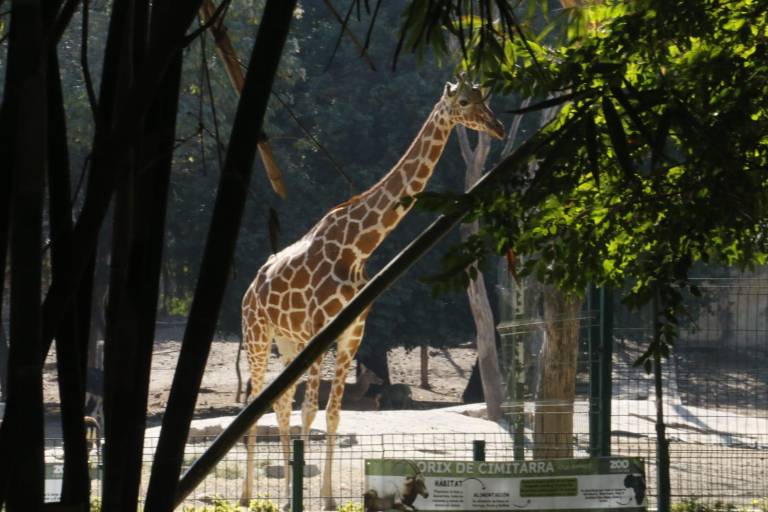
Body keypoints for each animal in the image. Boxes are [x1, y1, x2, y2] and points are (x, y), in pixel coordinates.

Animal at [240, 75, 504, 510]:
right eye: (465, 102)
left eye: (486, 98)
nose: (497, 128)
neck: (358, 247)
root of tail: (250, 288)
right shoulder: (321, 332)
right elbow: (311, 412)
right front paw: (309, 498)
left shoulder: (352, 335)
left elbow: (331, 414)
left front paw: (327, 498)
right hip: (257, 335)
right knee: (255, 400)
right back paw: (248, 494)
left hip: (288, 341)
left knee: (278, 403)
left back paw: (275, 493)